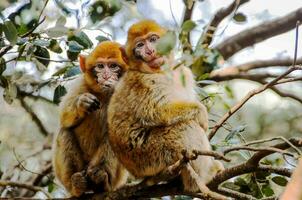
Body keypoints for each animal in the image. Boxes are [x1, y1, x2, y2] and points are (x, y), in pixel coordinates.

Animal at [53, 41, 129, 197]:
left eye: (113, 66)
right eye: (100, 66)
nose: (105, 76)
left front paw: (114, 86)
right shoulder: (81, 83)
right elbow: (64, 116)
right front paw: (81, 103)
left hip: (117, 180)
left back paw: (100, 180)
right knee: (65, 130)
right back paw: (76, 184)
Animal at [107, 19, 223, 192]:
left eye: (153, 39)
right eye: (139, 45)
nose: (149, 50)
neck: (161, 72)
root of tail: (136, 173)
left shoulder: (183, 71)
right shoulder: (145, 82)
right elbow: (157, 112)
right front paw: (201, 113)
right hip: (150, 154)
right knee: (185, 126)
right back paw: (199, 180)